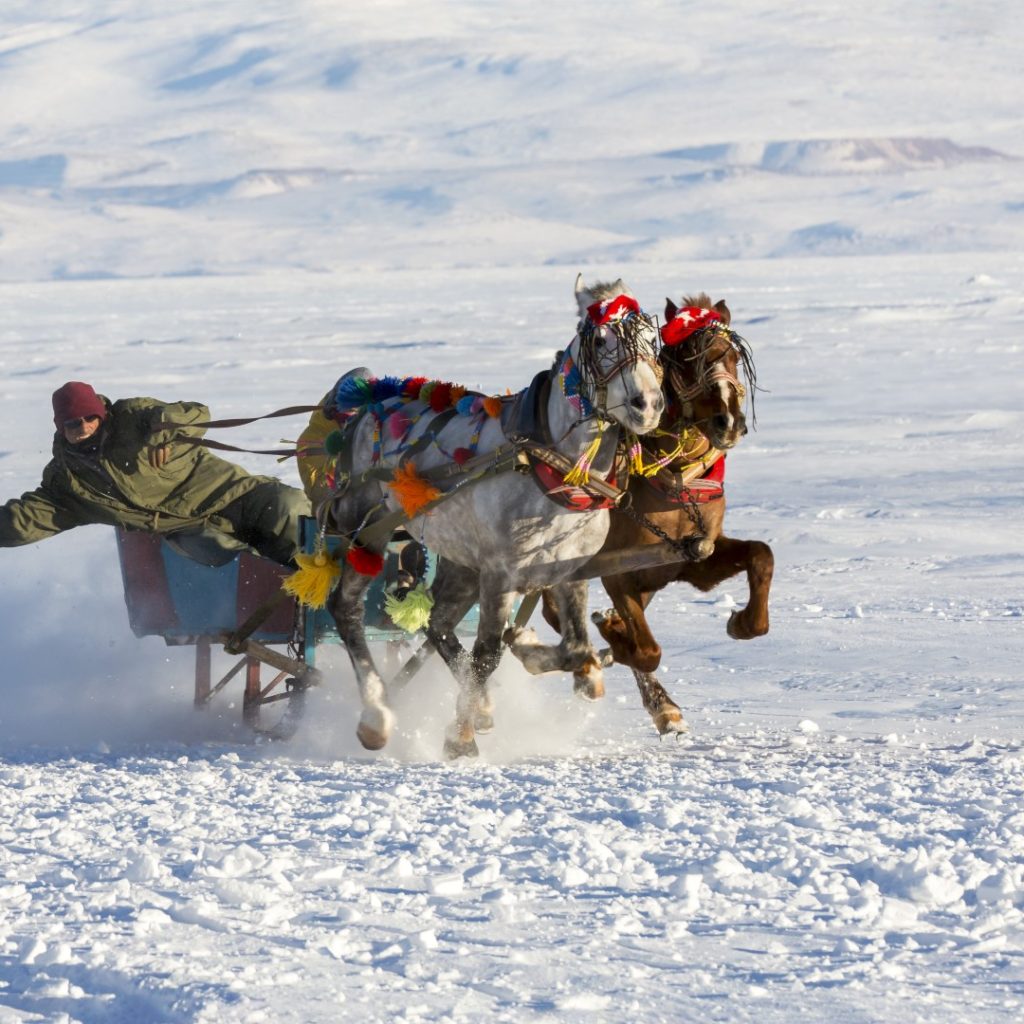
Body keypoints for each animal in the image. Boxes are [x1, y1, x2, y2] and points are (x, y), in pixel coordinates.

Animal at [317, 276, 663, 757]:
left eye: (654, 337)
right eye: (600, 339)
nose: (647, 403)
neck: (548, 463)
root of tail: (366, 403)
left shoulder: (570, 570)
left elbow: (574, 648)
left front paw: (547, 658)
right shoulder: (500, 573)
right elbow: (486, 654)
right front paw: (460, 735)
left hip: (458, 558)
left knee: (438, 623)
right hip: (365, 534)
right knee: (346, 609)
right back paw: (376, 717)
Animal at [536, 294, 770, 737]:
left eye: (733, 357)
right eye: (683, 361)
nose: (729, 421)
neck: (674, 479)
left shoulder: (693, 557)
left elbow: (761, 555)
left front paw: (744, 623)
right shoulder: (616, 570)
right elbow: (645, 650)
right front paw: (614, 637)